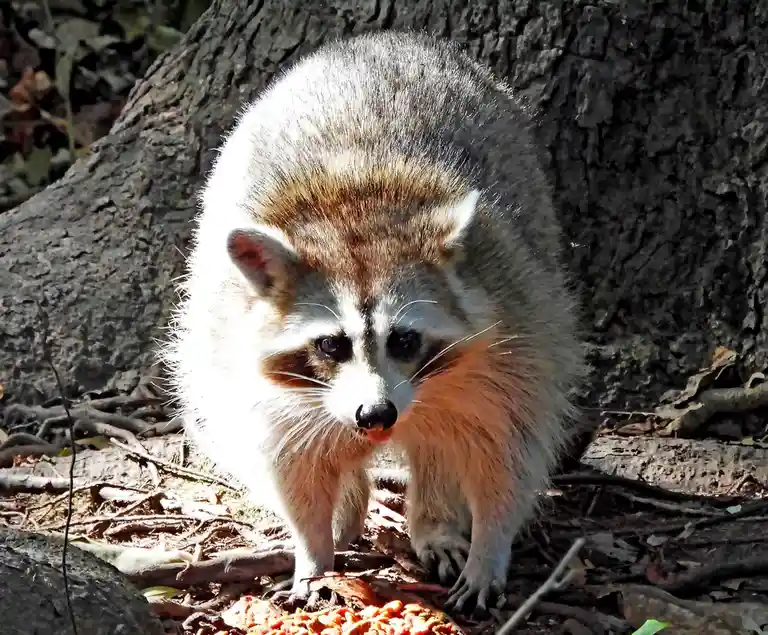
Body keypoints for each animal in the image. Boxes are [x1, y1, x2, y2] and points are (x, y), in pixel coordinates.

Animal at [161, 31, 585, 612]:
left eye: (404, 339)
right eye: (331, 345)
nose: (375, 414)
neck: (355, 215)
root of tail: (382, 39)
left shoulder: (516, 333)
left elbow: (507, 452)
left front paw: (490, 544)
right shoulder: (248, 365)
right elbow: (291, 464)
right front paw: (313, 548)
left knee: (442, 442)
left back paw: (433, 519)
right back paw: (347, 513)